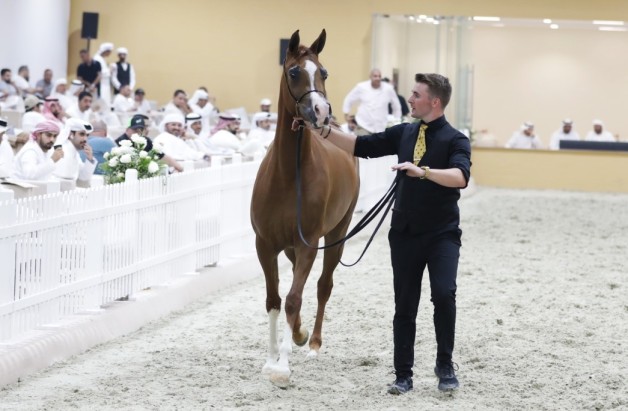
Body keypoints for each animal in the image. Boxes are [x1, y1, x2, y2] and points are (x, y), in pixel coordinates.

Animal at [250, 29, 360, 387]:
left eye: (323, 72)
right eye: (295, 72)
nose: (321, 110)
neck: (288, 173)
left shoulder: (308, 243)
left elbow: (294, 298)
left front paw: (282, 366)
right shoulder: (265, 244)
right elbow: (273, 300)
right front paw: (272, 357)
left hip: (336, 235)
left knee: (324, 286)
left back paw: (312, 343)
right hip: (289, 247)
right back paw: (299, 335)